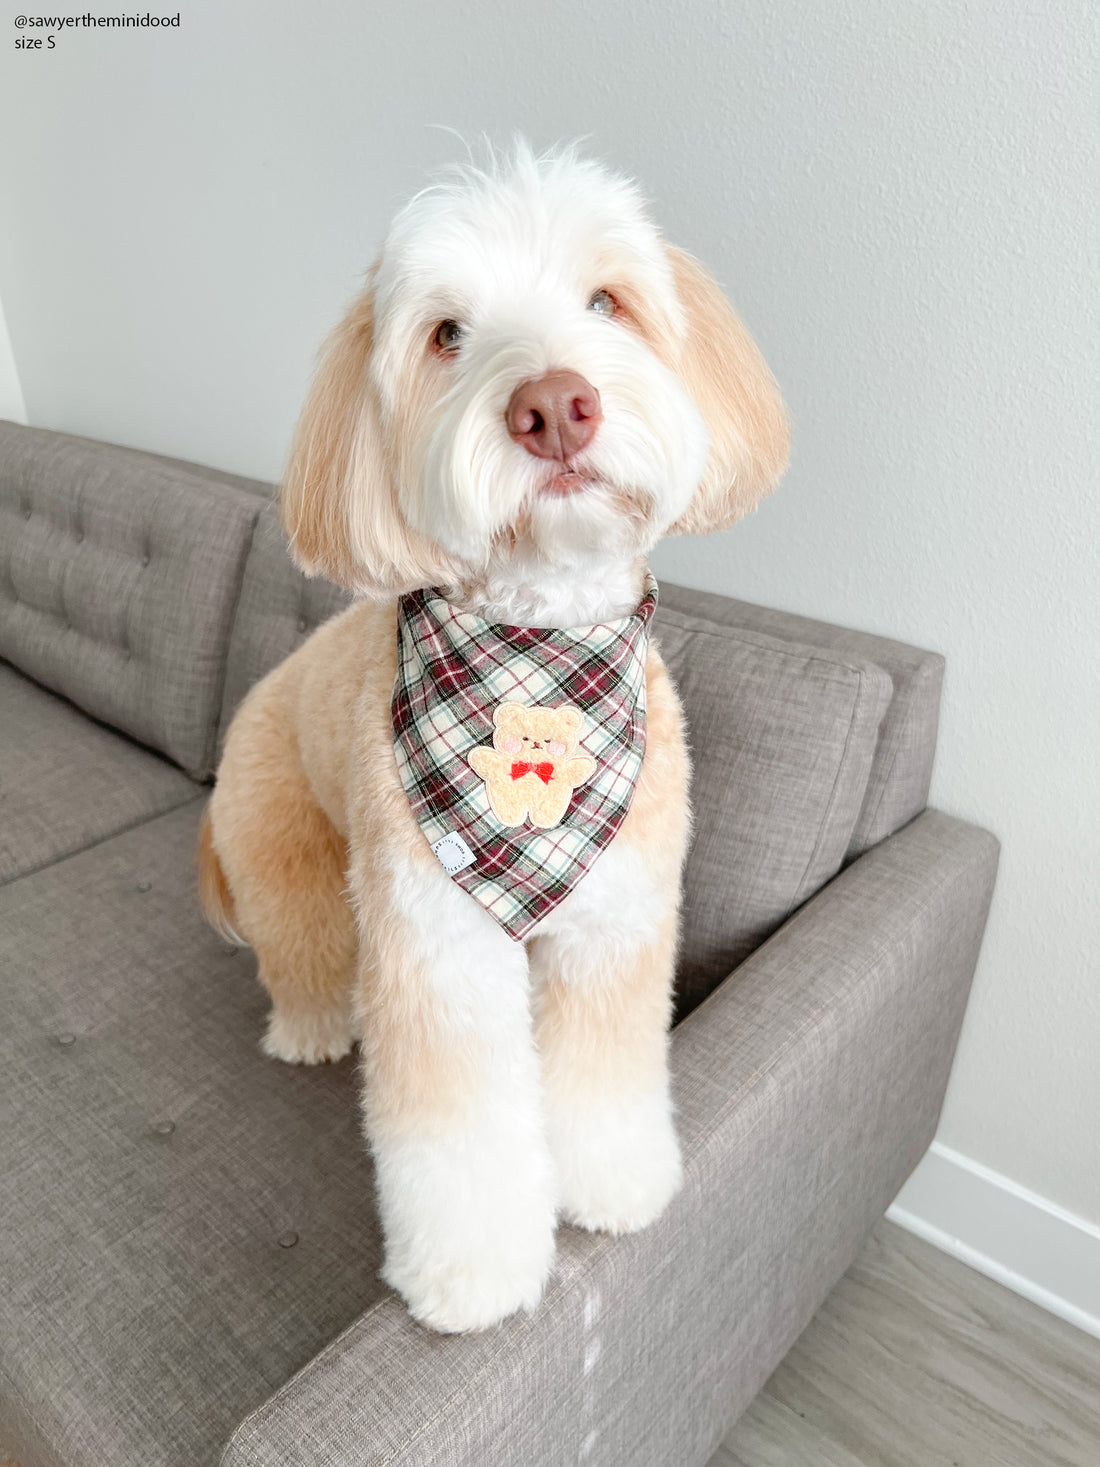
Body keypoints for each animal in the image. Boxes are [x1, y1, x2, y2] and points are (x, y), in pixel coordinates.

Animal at [196, 143, 786, 1337]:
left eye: (607, 302)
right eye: (446, 335)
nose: (554, 406)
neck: (537, 668)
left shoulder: (615, 927)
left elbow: (604, 1071)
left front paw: (612, 1183)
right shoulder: (439, 949)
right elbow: (457, 1127)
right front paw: (471, 1276)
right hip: (288, 855)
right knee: (303, 959)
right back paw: (316, 1029)